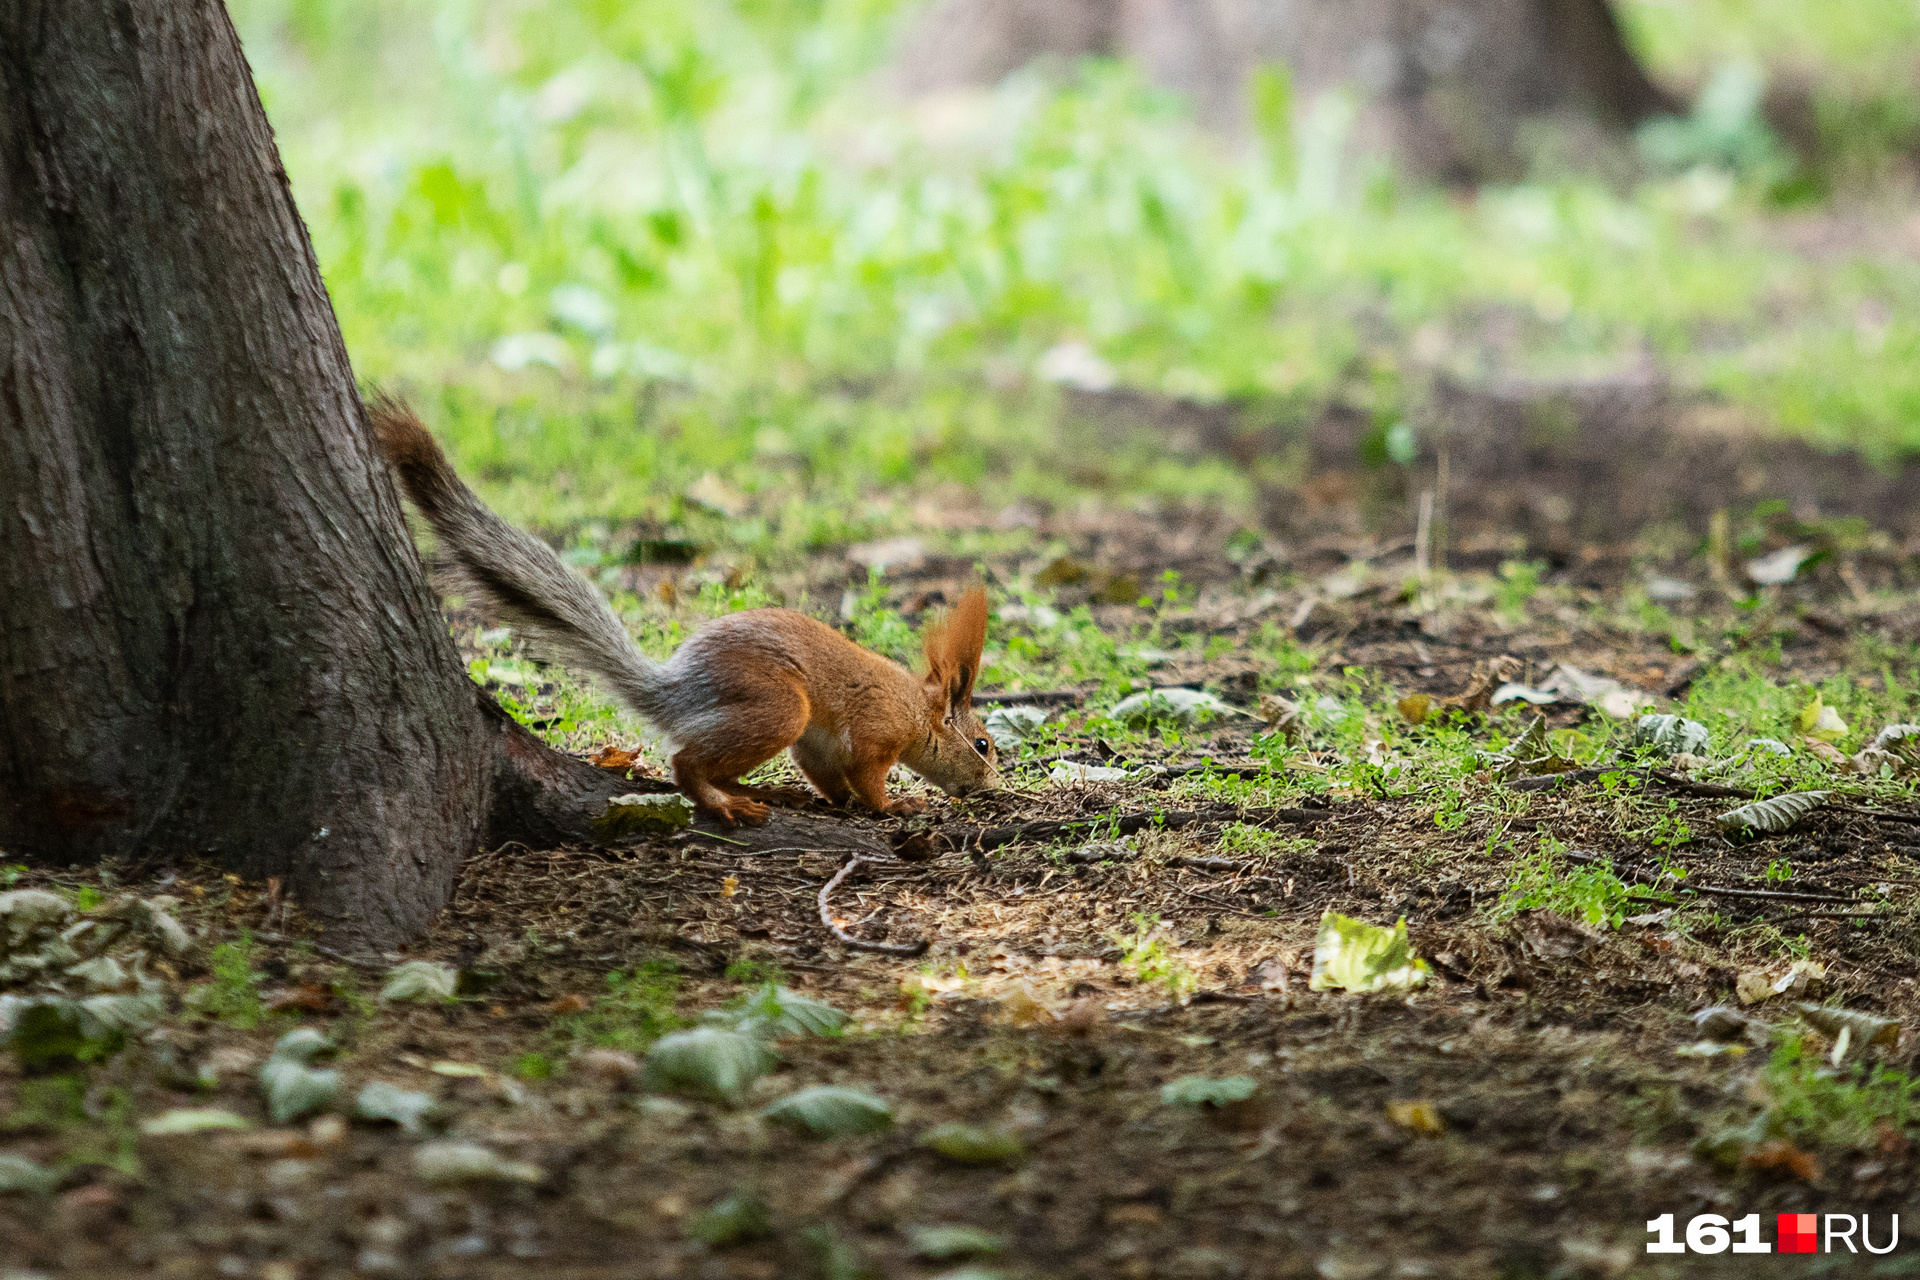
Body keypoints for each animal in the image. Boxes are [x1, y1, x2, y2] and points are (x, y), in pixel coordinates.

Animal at [370, 395, 1006, 825]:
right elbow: (868, 778)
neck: (917, 711)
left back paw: (762, 792)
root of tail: (673, 689)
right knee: (684, 762)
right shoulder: (874, 731)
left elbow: (830, 779)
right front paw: (893, 805)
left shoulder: (820, 748)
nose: (991, 786)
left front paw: (836, 800)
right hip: (776, 708)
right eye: (983, 744)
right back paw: (728, 803)